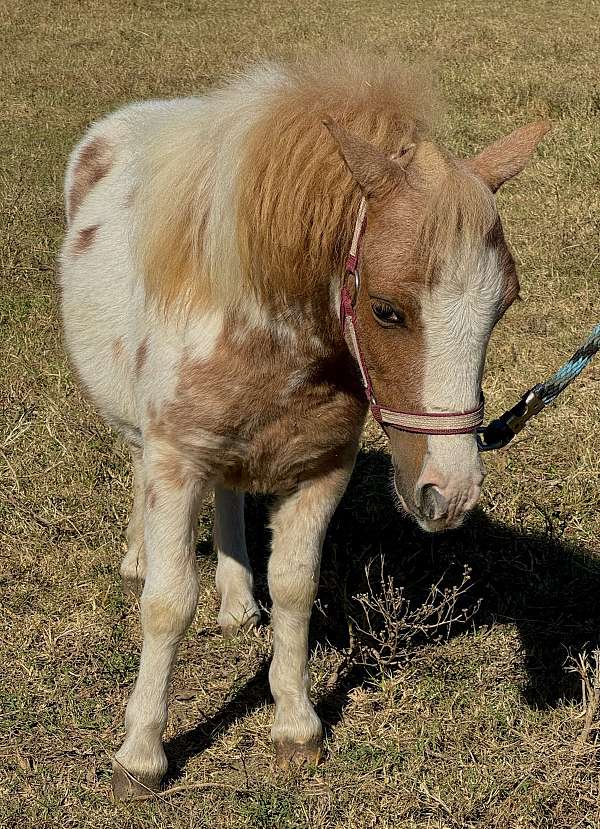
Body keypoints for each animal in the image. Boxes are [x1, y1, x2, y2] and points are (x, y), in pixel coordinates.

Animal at [58, 56, 552, 796]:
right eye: (386, 310)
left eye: (505, 303)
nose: (450, 492)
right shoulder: (177, 461)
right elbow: (168, 602)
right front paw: (141, 754)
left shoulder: (322, 469)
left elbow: (294, 588)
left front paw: (295, 723)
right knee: (139, 469)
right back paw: (139, 556)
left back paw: (237, 602)